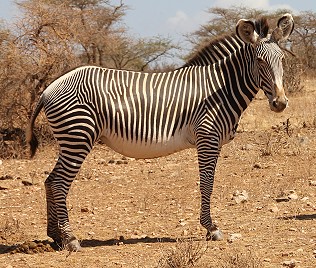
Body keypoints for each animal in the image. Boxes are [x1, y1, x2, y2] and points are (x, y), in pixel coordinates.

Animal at [26, 13, 294, 251]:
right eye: (259, 61)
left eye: (282, 59)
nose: (280, 103)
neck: (221, 88)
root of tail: (49, 88)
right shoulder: (208, 137)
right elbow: (207, 182)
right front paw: (211, 228)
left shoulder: (212, 140)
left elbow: (207, 182)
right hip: (78, 136)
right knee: (59, 183)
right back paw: (70, 239)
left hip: (71, 140)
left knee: (50, 181)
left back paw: (56, 237)